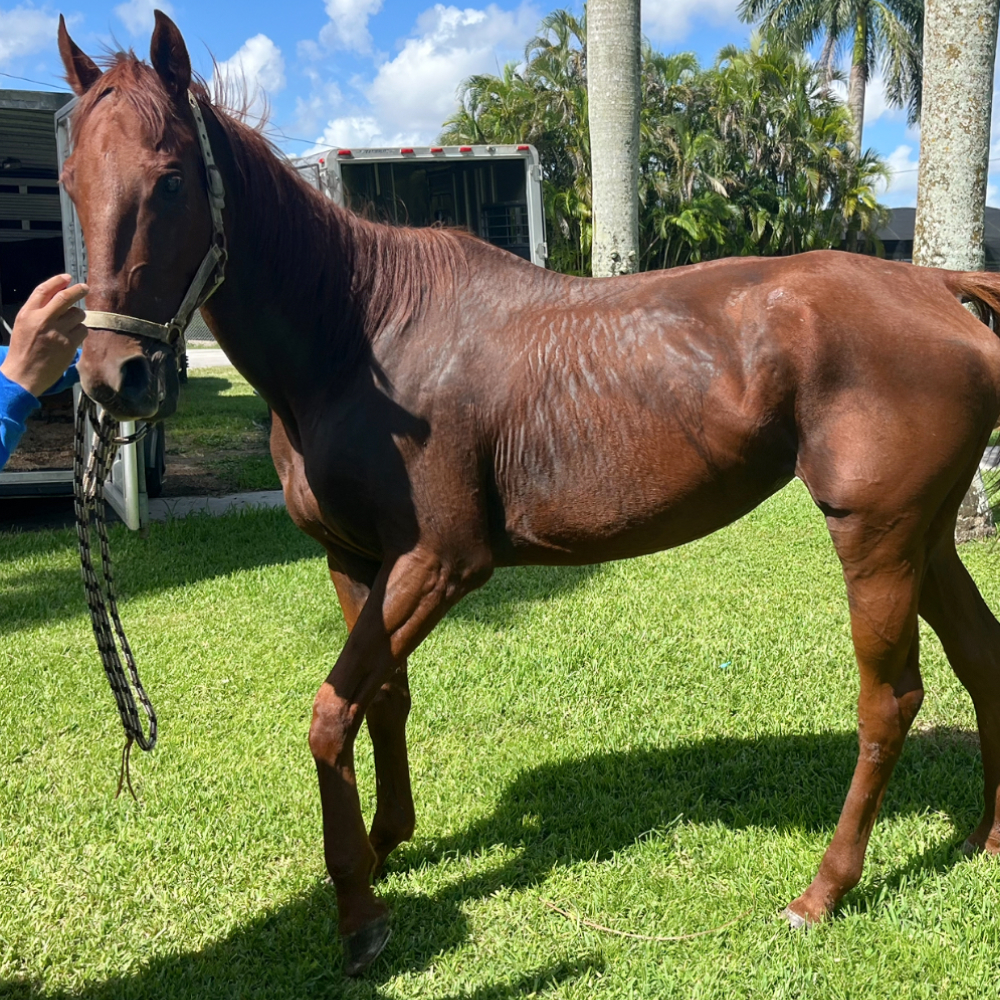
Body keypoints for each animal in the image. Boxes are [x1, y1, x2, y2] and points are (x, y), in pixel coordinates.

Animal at [58, 7, 1000, 976]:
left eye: (171, 181)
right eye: (71, 180)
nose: (111, 376)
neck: (364, 336)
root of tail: (934, 282)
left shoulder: (440, 562)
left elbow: (330, 713)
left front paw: (358, 909)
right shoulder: (356, 560)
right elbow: (379, 698)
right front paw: (386, 843)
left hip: (875, 539)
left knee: (890, 701)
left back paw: (822, 892)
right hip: (925, 537)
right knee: (983, 658)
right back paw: (986, 838)